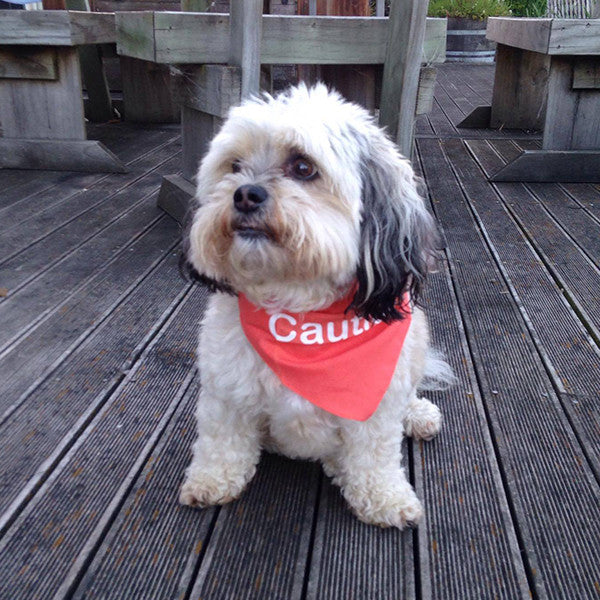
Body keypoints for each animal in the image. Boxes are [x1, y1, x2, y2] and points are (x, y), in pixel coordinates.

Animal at [179, 84, 454, 528]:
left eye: (304, 167)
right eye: (234, 165)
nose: (245, 193)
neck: (299, 310)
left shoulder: (374, 410)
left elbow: (374, 458)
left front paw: (386, 497)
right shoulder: (227, 394)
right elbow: (222, 442)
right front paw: (211, 480)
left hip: (415, 340)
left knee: (410, 391)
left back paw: (416, 415)